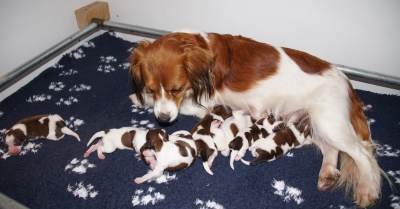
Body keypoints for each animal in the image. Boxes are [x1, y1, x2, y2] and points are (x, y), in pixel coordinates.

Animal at [130, 29, 386, 207]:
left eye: (176, 89)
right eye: (152, 88)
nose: (163, 120)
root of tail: (347, 82)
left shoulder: (205, 103)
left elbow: (183, 106)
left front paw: (142, 100)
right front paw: (141, 97)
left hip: (327, 120)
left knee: (362, 154)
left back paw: (366, 190)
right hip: (309, 122)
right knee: (331, 149)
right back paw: (327, 174)